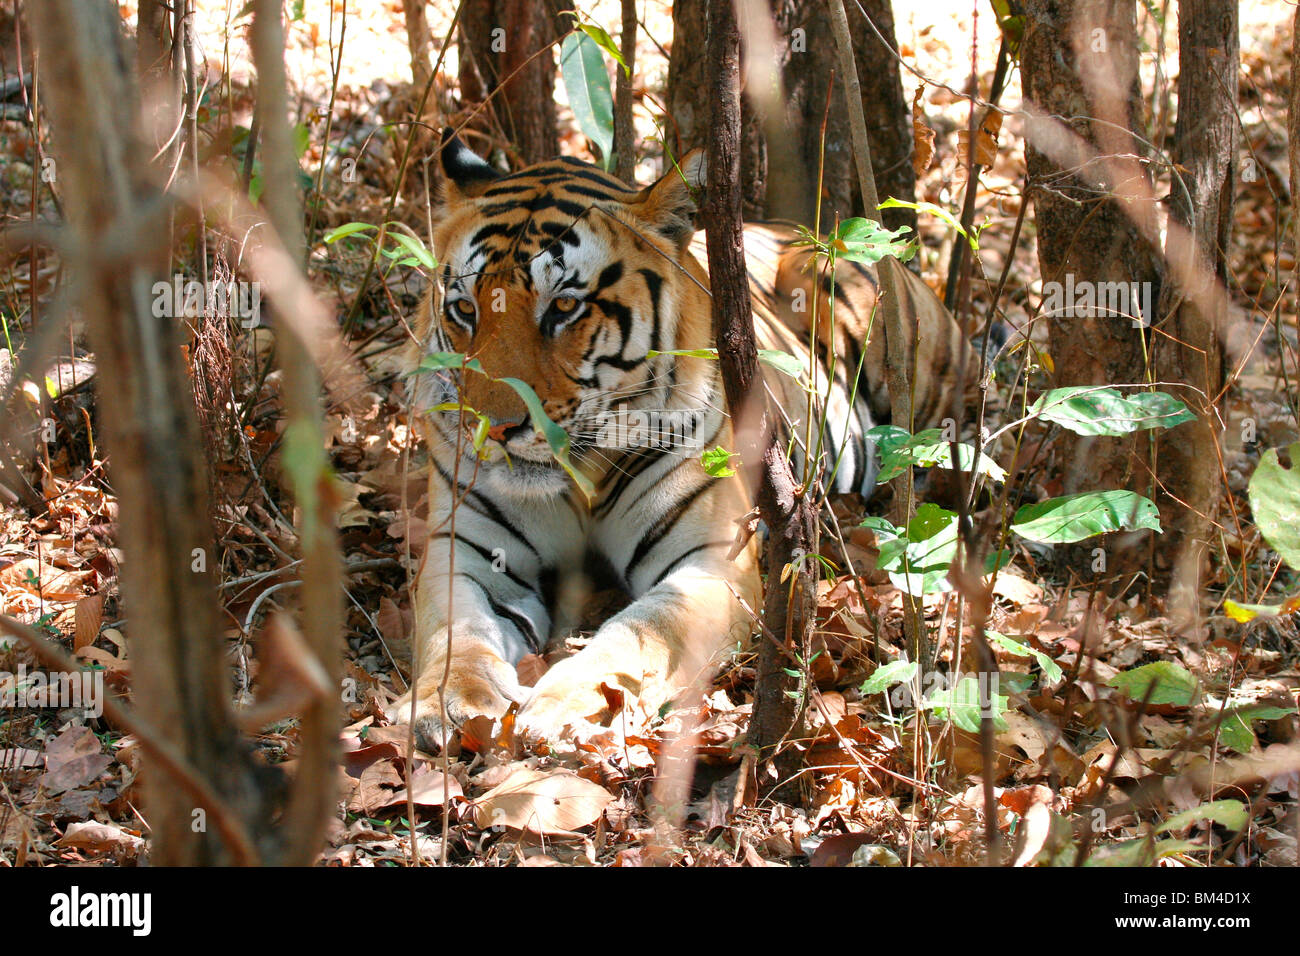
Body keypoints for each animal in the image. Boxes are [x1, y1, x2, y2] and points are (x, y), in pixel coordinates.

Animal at [390, 128, 972, 749]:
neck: (581, 477)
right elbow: (456, 629)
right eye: (464, 309)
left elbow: (642, 631)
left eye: (564, 307)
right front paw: (452, 700)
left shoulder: (712, 560)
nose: (494, 428)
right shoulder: (466, 551)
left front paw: (566, 705)